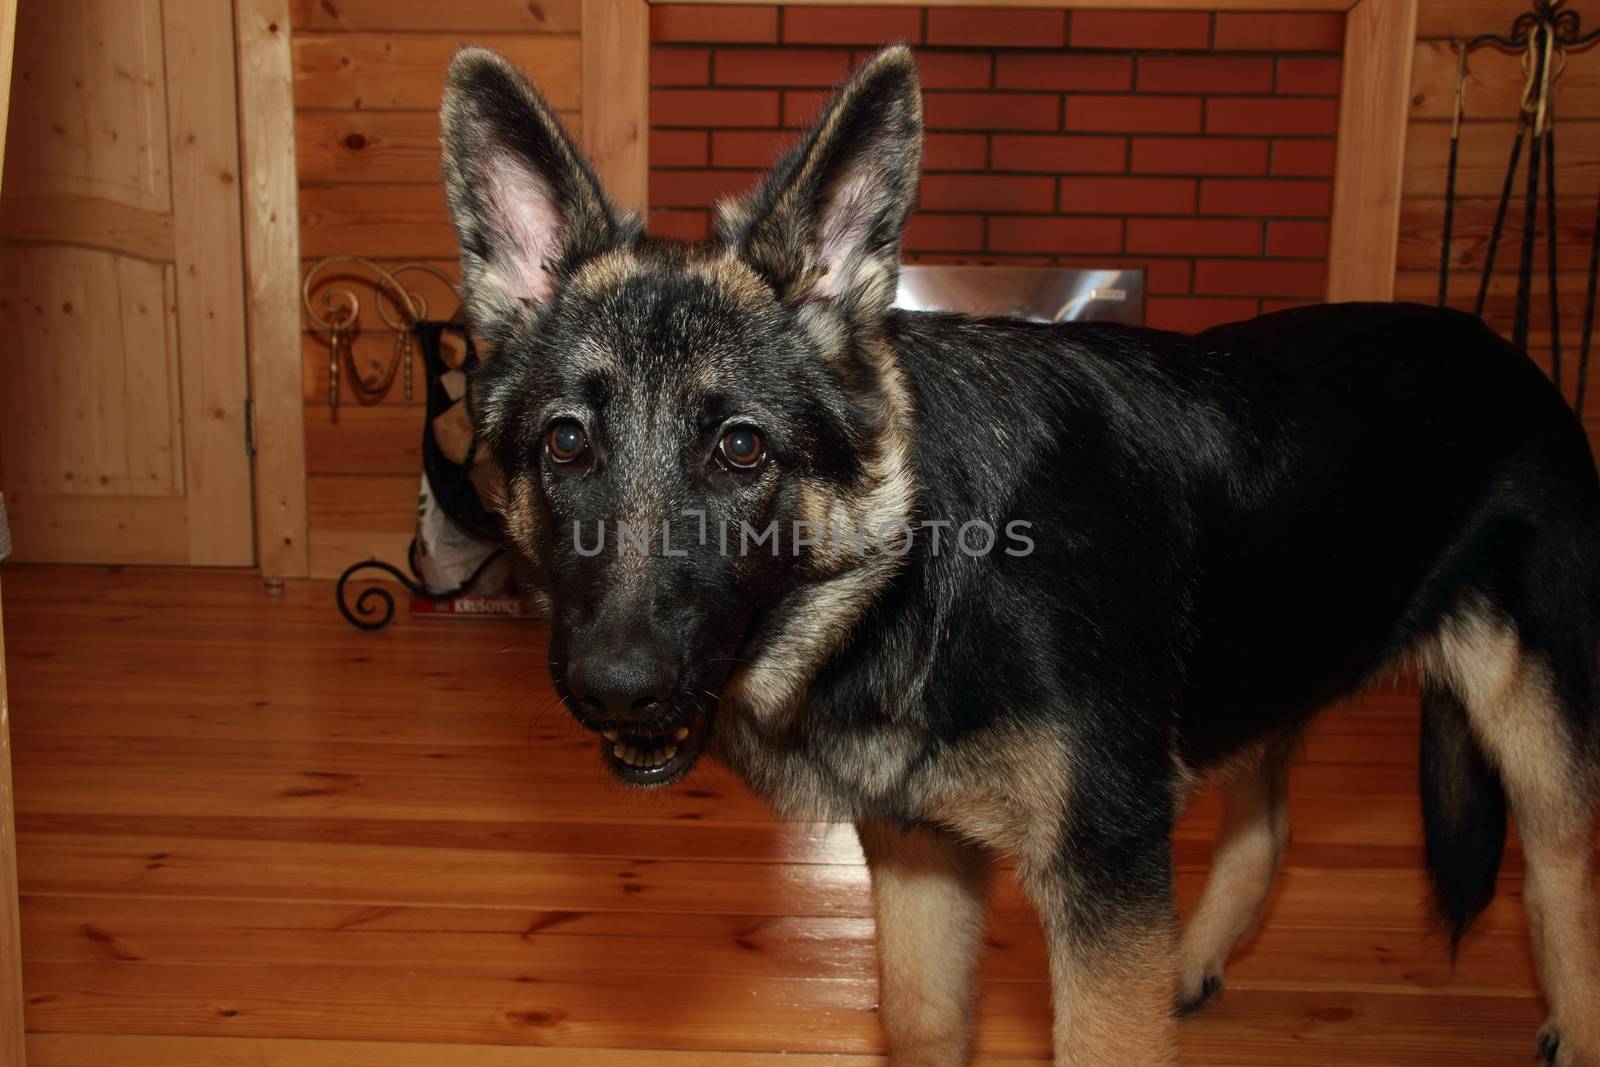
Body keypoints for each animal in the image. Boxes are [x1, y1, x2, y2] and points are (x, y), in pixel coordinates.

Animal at [444, 43, 1600, 1067]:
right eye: (565, 444)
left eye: (739, 448)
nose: (615, 686)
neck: (934, 571)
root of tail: (1514, 361)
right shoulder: (923, 860)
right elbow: (922, 1027)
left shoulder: (1102, 884)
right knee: (1264, 825)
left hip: (1541, 755)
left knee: (1562, 896)